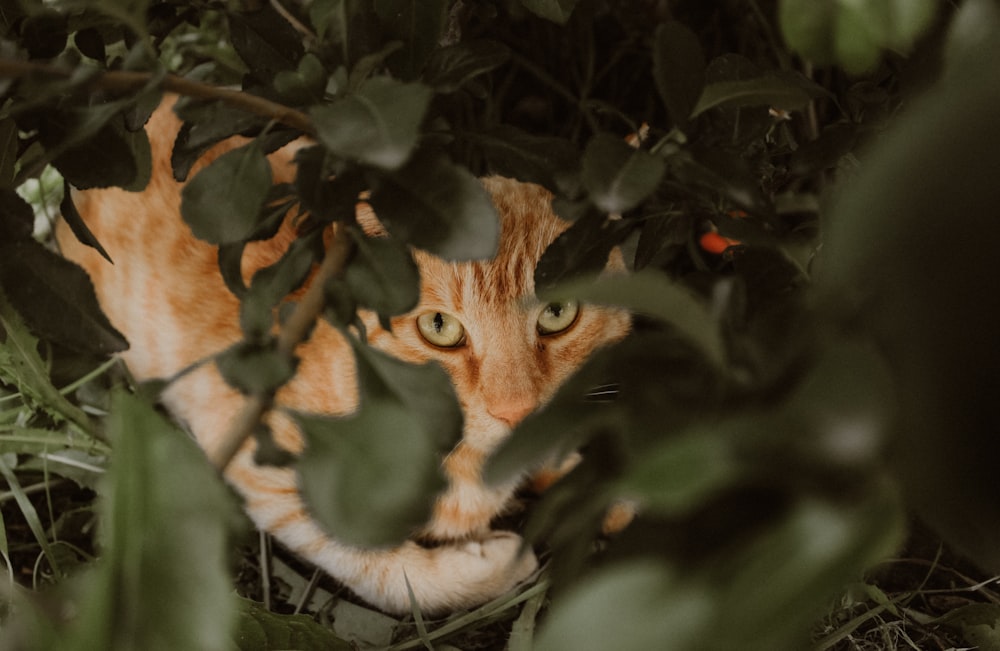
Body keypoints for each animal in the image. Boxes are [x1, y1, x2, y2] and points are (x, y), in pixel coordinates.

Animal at [54, 99, 628, 612]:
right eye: (440, 327)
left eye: (558, 313)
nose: (516, 410)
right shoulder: (260, 463)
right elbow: (381, 568)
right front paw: (496, 565)